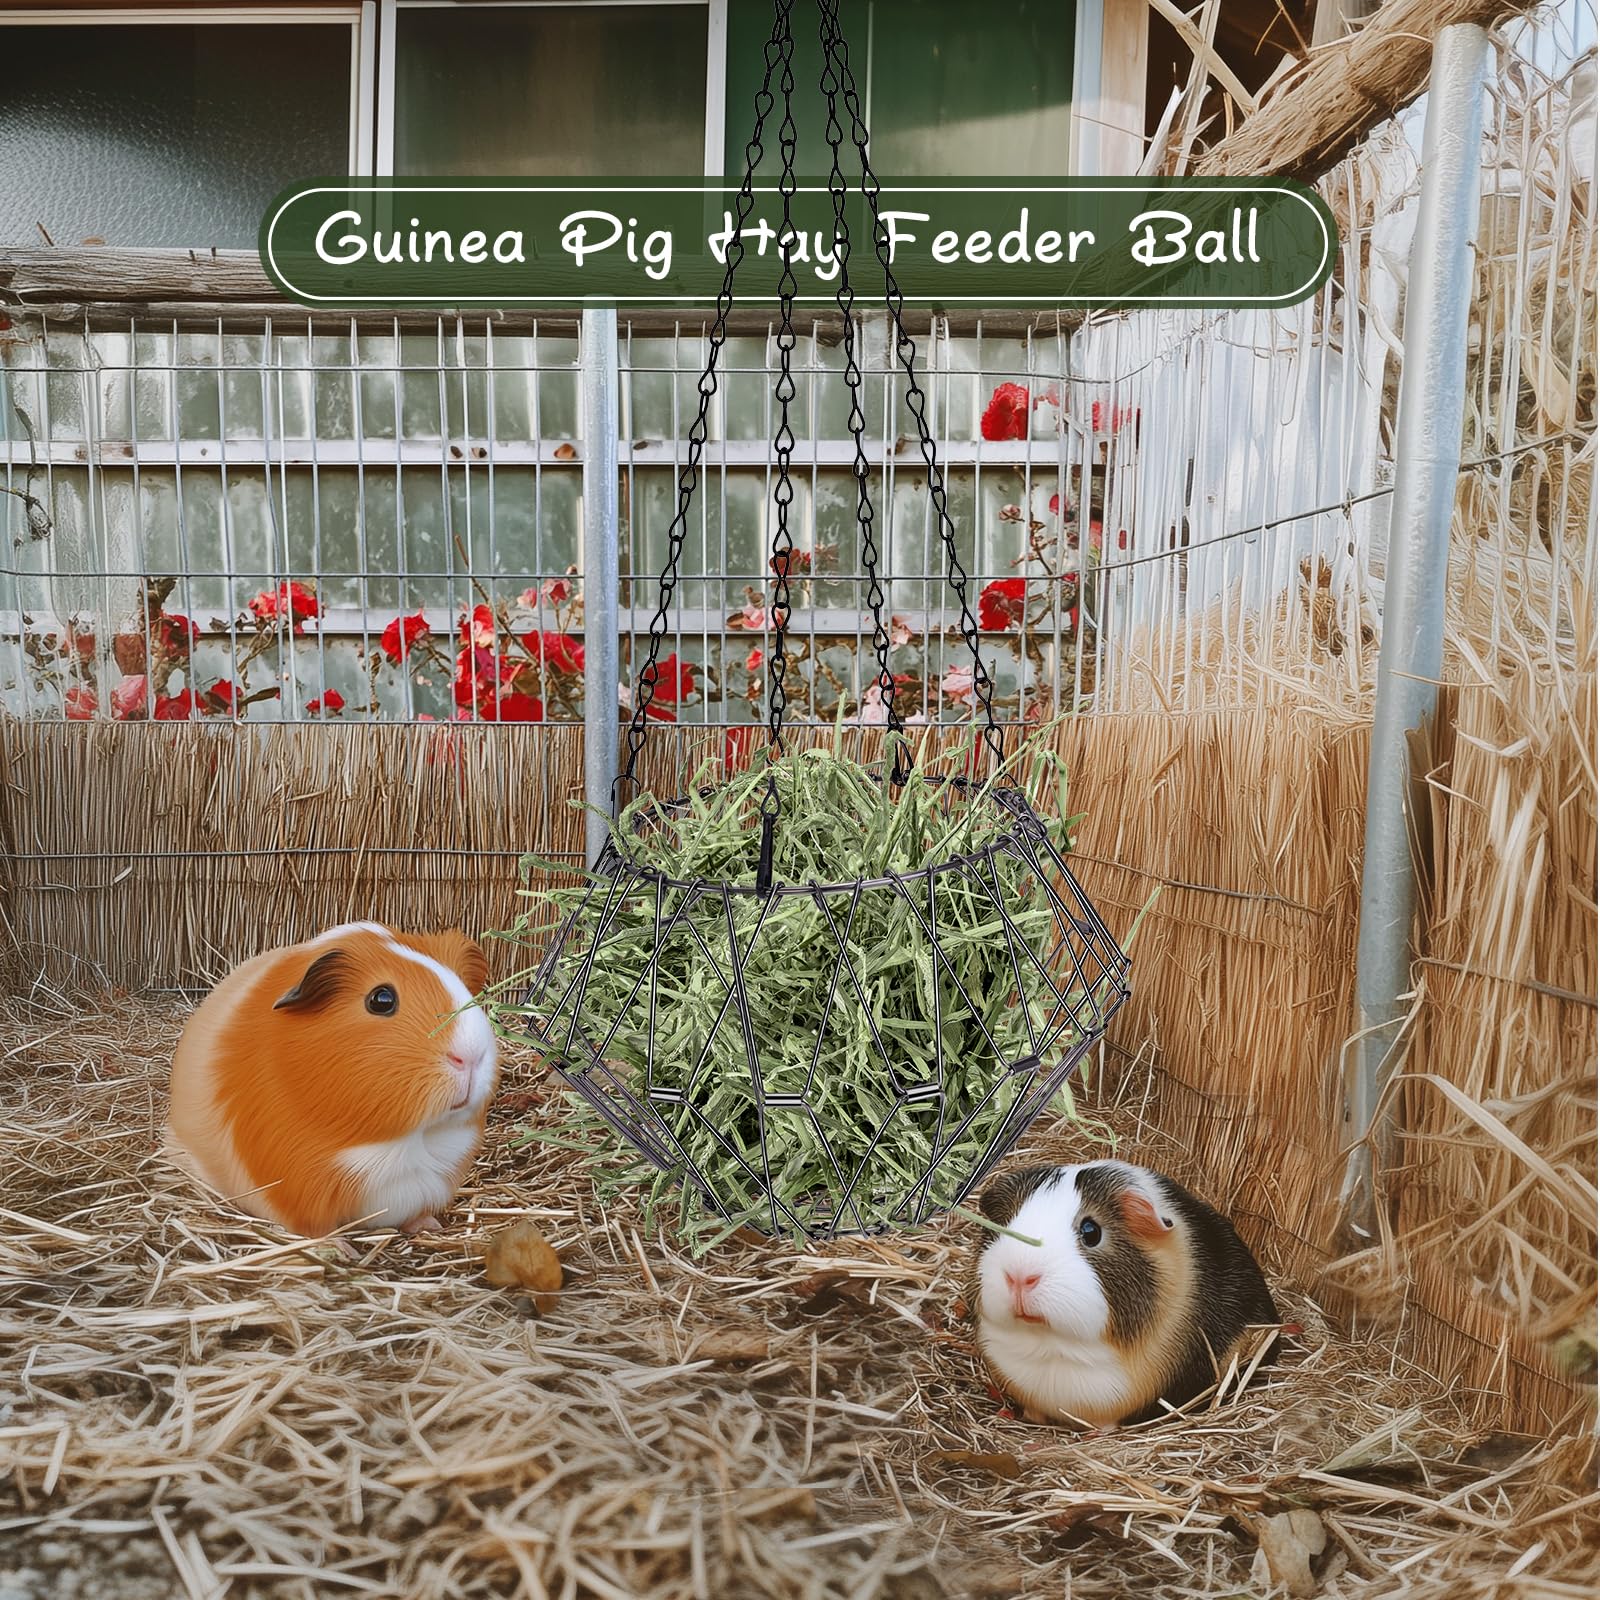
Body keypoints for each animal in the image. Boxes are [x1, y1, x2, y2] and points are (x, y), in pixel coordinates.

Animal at [168, 921, 499, 1240]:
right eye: (382, 999)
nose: (471, 1056)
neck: (403, 1143)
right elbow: (315, 1229)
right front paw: (341, 1248)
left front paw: (429, 1225)